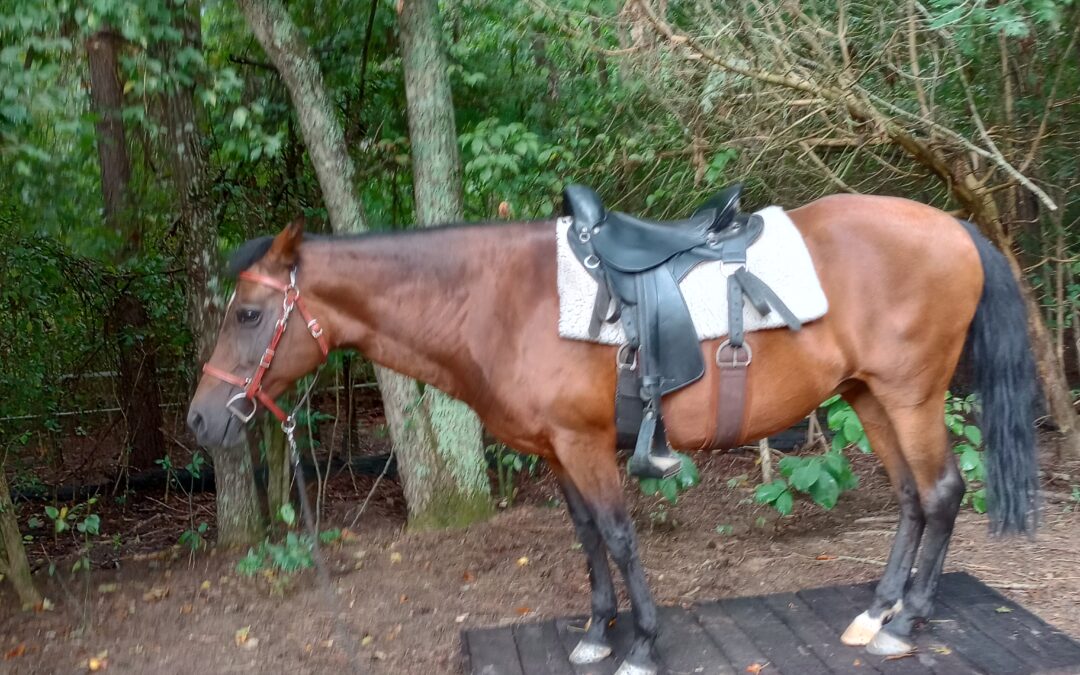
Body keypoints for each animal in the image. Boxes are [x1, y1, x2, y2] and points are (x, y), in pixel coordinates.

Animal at [187, 193, 1036, 673]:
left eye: (250, 313)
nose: (200, 418)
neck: (503, 299)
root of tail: (954, 227)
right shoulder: (558, 449)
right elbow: (588, 535)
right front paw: (600, 629)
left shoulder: (587, 444)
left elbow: (621, 535)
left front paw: (644, 641)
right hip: (869, 396)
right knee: (909, 497)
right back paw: (879, 610)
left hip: (911, 395)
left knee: (942, 490)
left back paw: (911, 618)